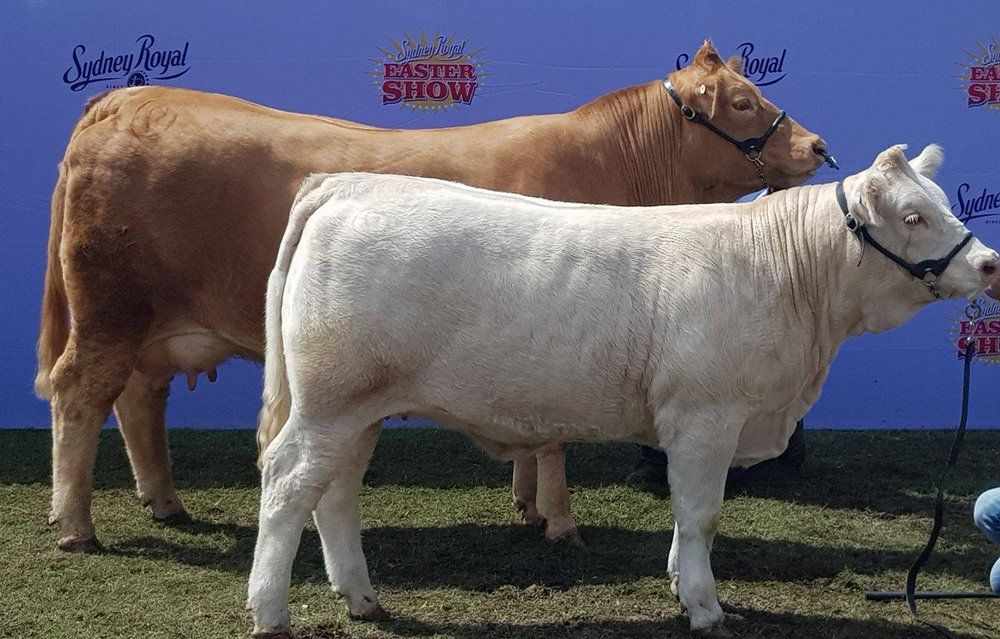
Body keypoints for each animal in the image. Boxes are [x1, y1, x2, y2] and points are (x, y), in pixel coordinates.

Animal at [36, 40, 828, 552]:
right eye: (742, 100)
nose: (818, 146)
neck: (617, 165)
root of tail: (129, 97)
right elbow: (556, 438)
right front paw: (560, 519)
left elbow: (534, 427)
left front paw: (526, 503)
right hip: (109, 311)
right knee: (80, 394)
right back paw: (75, 524)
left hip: (149, 325)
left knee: (138, 400)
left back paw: (164, 502)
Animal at [247, 145, 999, 637]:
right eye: (912, 215)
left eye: (944, 204)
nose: (990, 263)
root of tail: (345, 186)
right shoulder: (707, 413)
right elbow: (702, 514)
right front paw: (705, 607)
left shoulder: (699, 423)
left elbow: (684, 515)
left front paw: (678, 582)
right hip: (330, 402)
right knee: (287, 484)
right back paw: (270, 611)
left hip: (358, 409)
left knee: (335, 494)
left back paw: (363, 598)